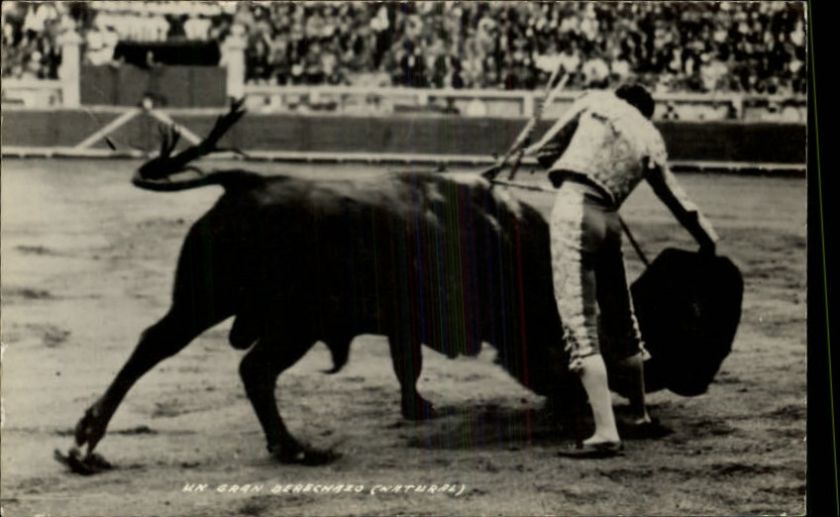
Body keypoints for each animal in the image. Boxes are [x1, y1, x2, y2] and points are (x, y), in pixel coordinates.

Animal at [72, 169, 740, 464]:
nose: (694, 381)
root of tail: (247, 182)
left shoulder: (405, 323)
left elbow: (407, 363)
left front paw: (418, 408)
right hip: (290, 322)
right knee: (252, 370)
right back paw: (294, 448)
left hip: (203, 300)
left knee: (153, 344)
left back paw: (86, 439)